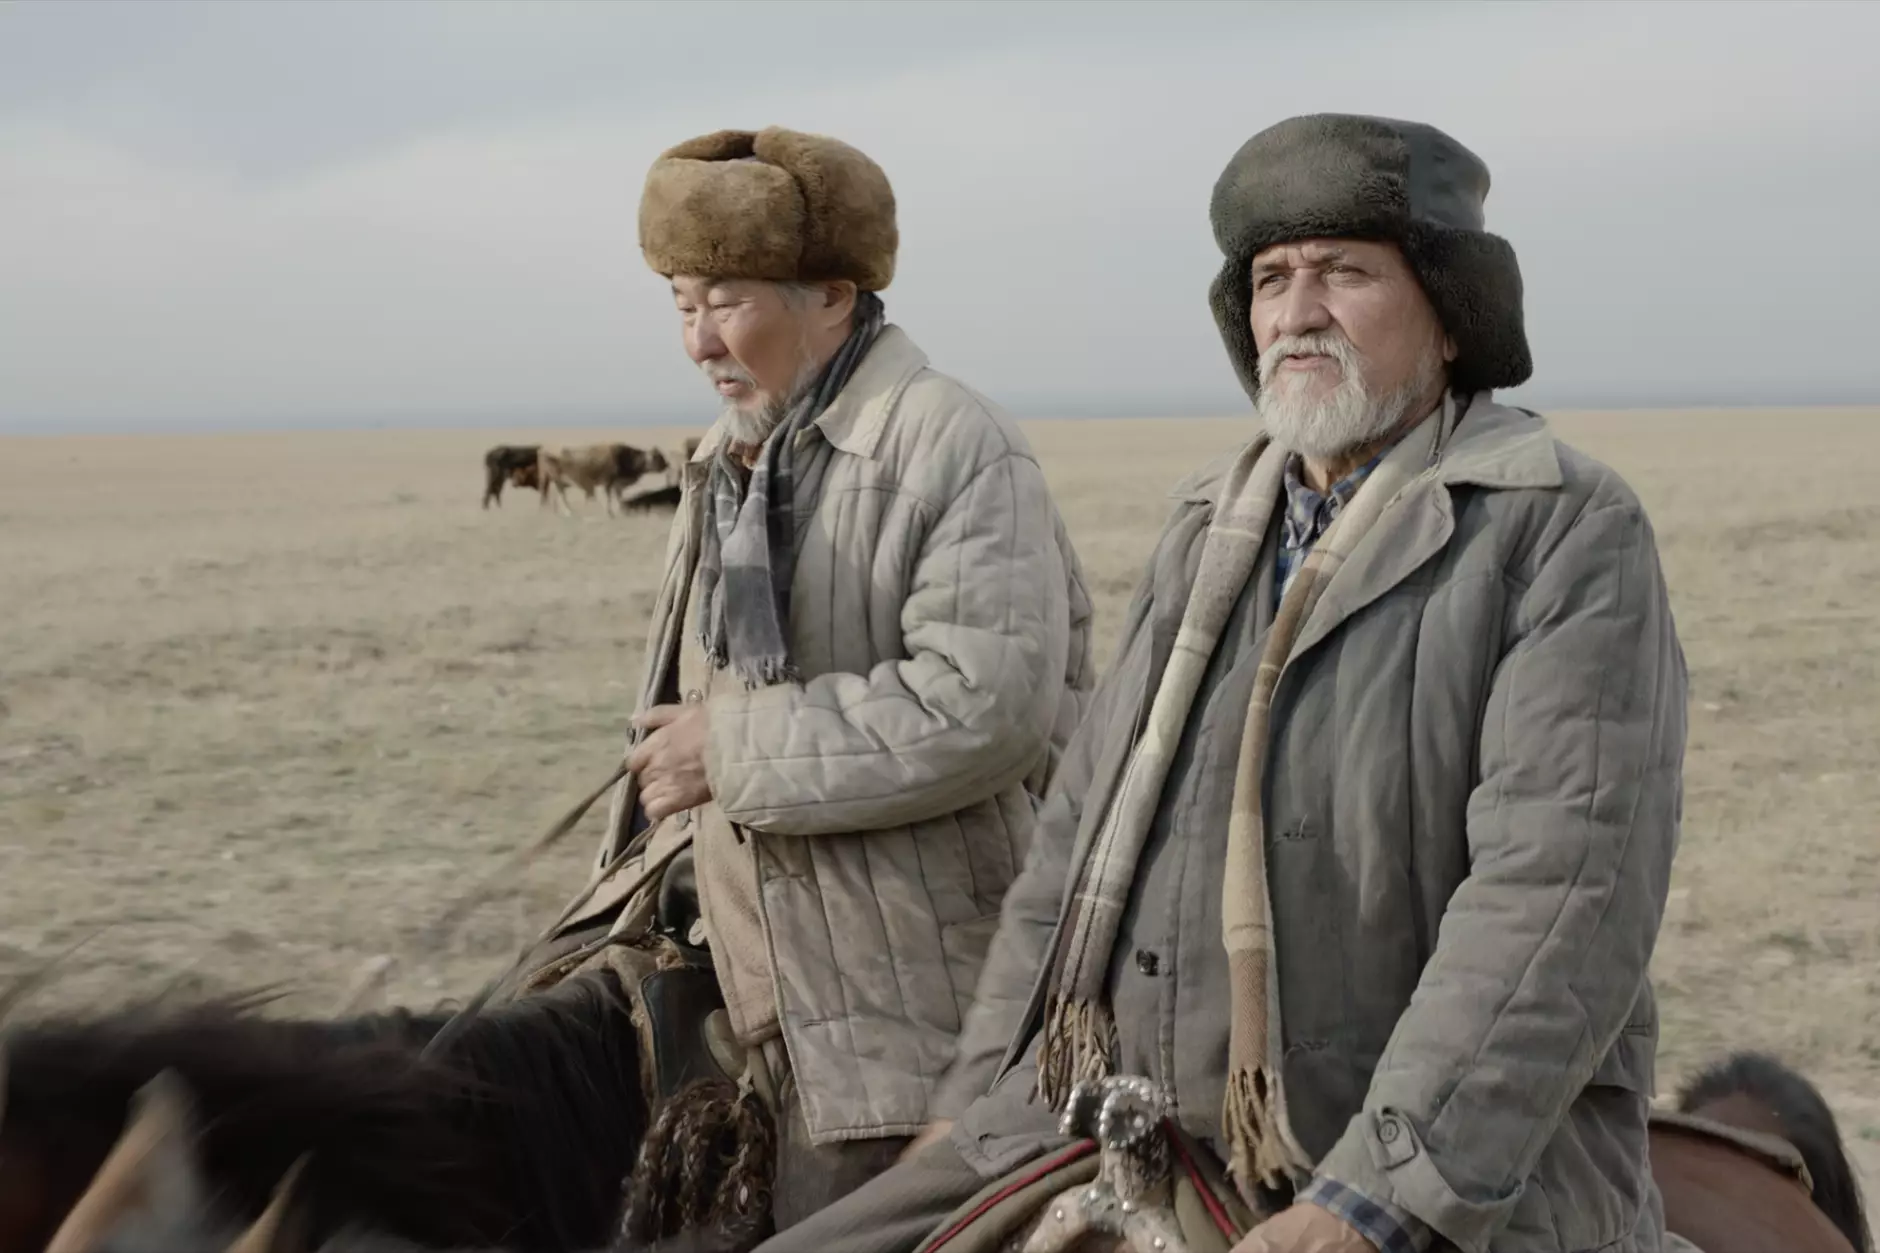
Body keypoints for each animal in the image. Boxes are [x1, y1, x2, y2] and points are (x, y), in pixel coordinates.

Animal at [536, 443, 665, 517]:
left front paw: (621, 510)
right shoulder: (607, 483)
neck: (623, 457)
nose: (667, 464)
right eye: (658, 458)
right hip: (555, 481)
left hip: (560, 483)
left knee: (558, 497)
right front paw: (610, 513)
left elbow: (618, 497)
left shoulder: (616, 484)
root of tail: (543, 450)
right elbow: (608, 498)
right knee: (561, 497)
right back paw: (569, 513)